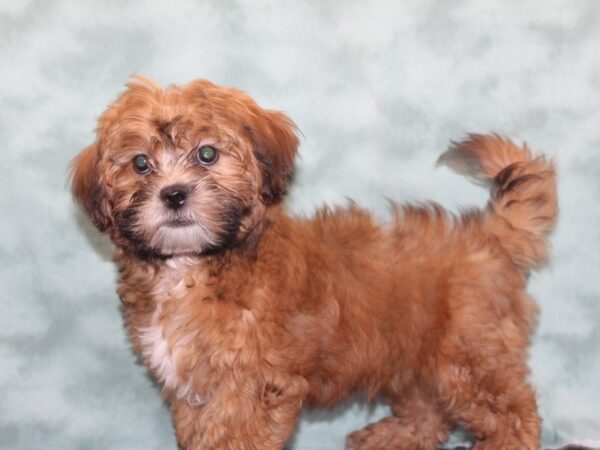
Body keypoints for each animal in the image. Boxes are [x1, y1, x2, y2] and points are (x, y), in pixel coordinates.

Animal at [70, 75, 556, 448]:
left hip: (469, 355)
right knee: (430, 405)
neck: (195, 263)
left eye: (207, 154)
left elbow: (232, 438)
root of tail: (485, 235)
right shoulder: (196, 386)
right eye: (140, 164)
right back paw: (394, 436)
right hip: (413, 350)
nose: (173, 194)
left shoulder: (251, 386)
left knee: (512, 414)